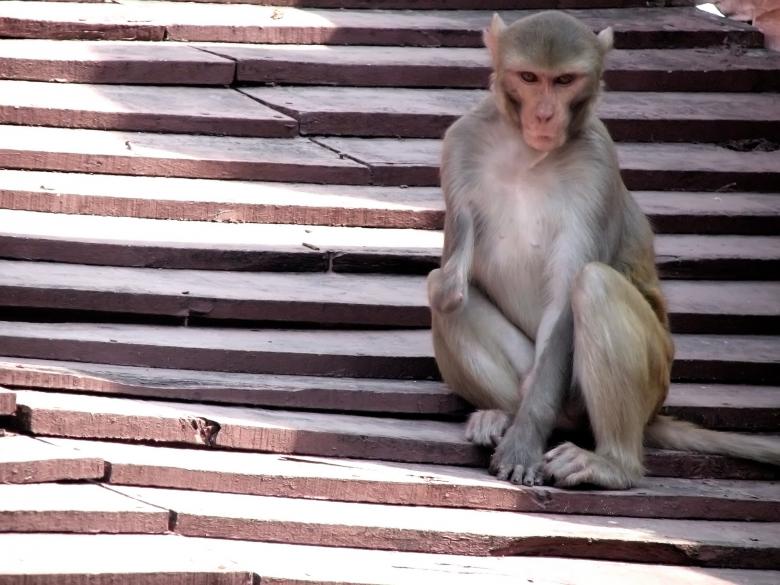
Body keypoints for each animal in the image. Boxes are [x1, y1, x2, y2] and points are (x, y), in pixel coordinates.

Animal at [427, 11, 780, 489]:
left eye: (564, 80)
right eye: (529, 77)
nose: (544, 115)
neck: (525, 152)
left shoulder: (596, 166)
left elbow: (564, 304)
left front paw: (524, 443)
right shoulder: (460, 145)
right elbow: (450, 285)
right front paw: (454, 272)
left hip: (645, 376)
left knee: (595, 286)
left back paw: (612, 463)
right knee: (442, 297)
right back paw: (501, 414)